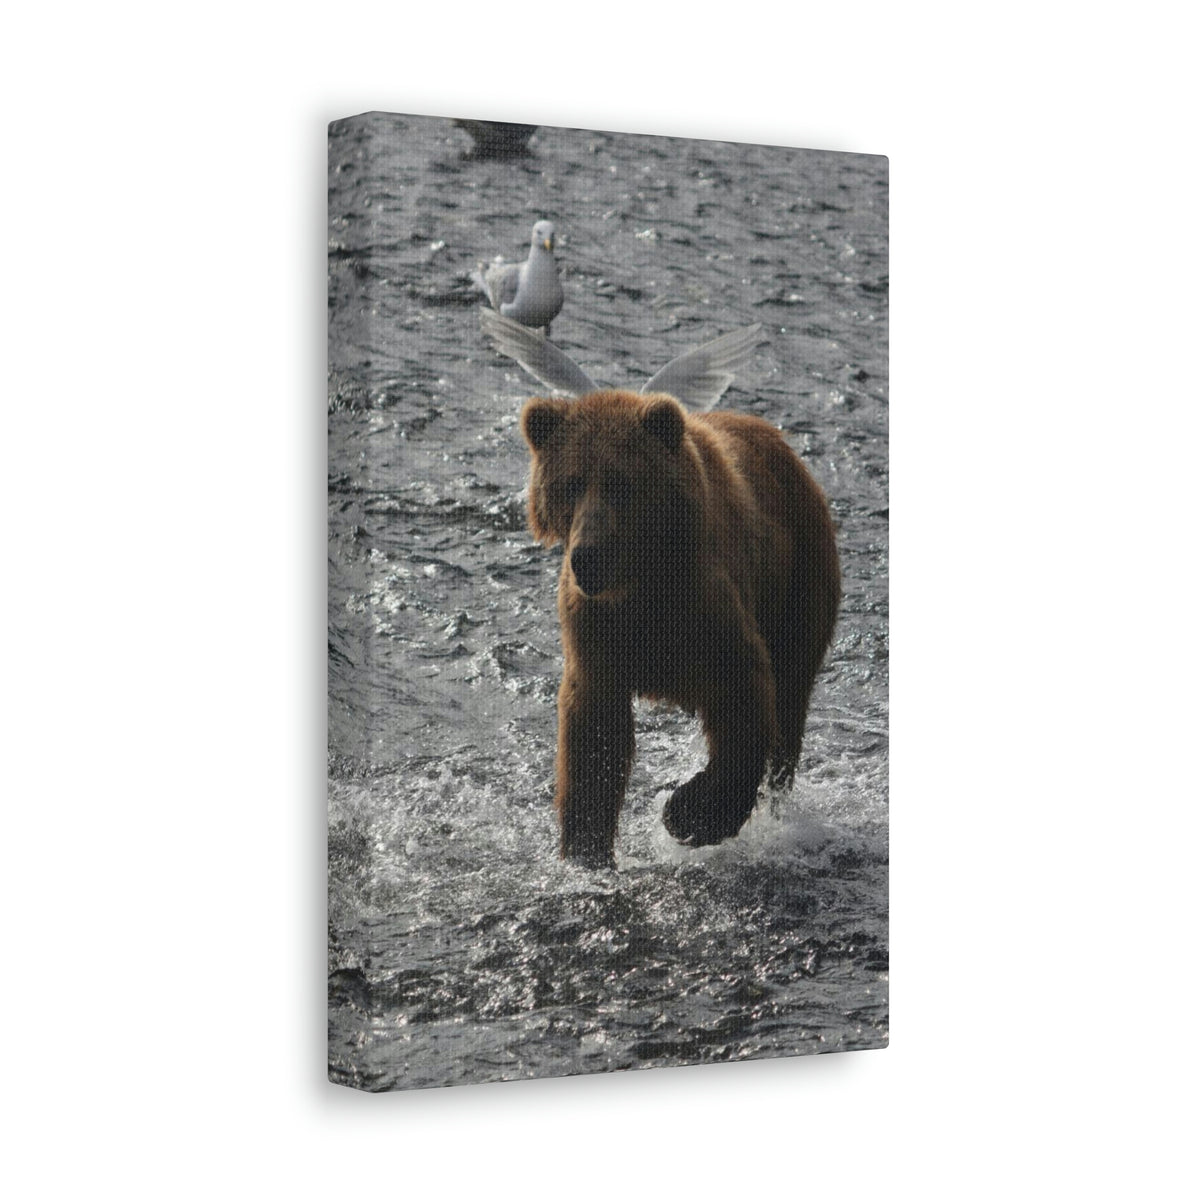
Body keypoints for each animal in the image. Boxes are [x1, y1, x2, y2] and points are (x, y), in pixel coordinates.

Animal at [520, 389, 841, 869]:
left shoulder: (705, 606)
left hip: (798, 582)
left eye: (620, 482)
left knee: (788, 702)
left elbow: (743, 693)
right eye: (571, 483)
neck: (641, 584)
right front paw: (586, 850)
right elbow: (594, 736)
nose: (588, 556)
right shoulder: (597, 629)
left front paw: (688, 813)